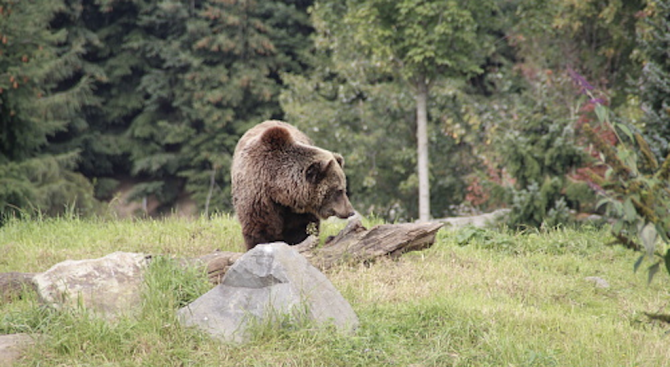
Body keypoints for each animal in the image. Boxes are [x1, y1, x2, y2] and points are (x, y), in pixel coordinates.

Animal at [231, 120, 356, 250]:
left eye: (343, 188)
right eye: (339, 190)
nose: (350, 211)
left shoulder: (299, 211)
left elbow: (301, 229)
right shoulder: (258, 196)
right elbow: (261, 228)